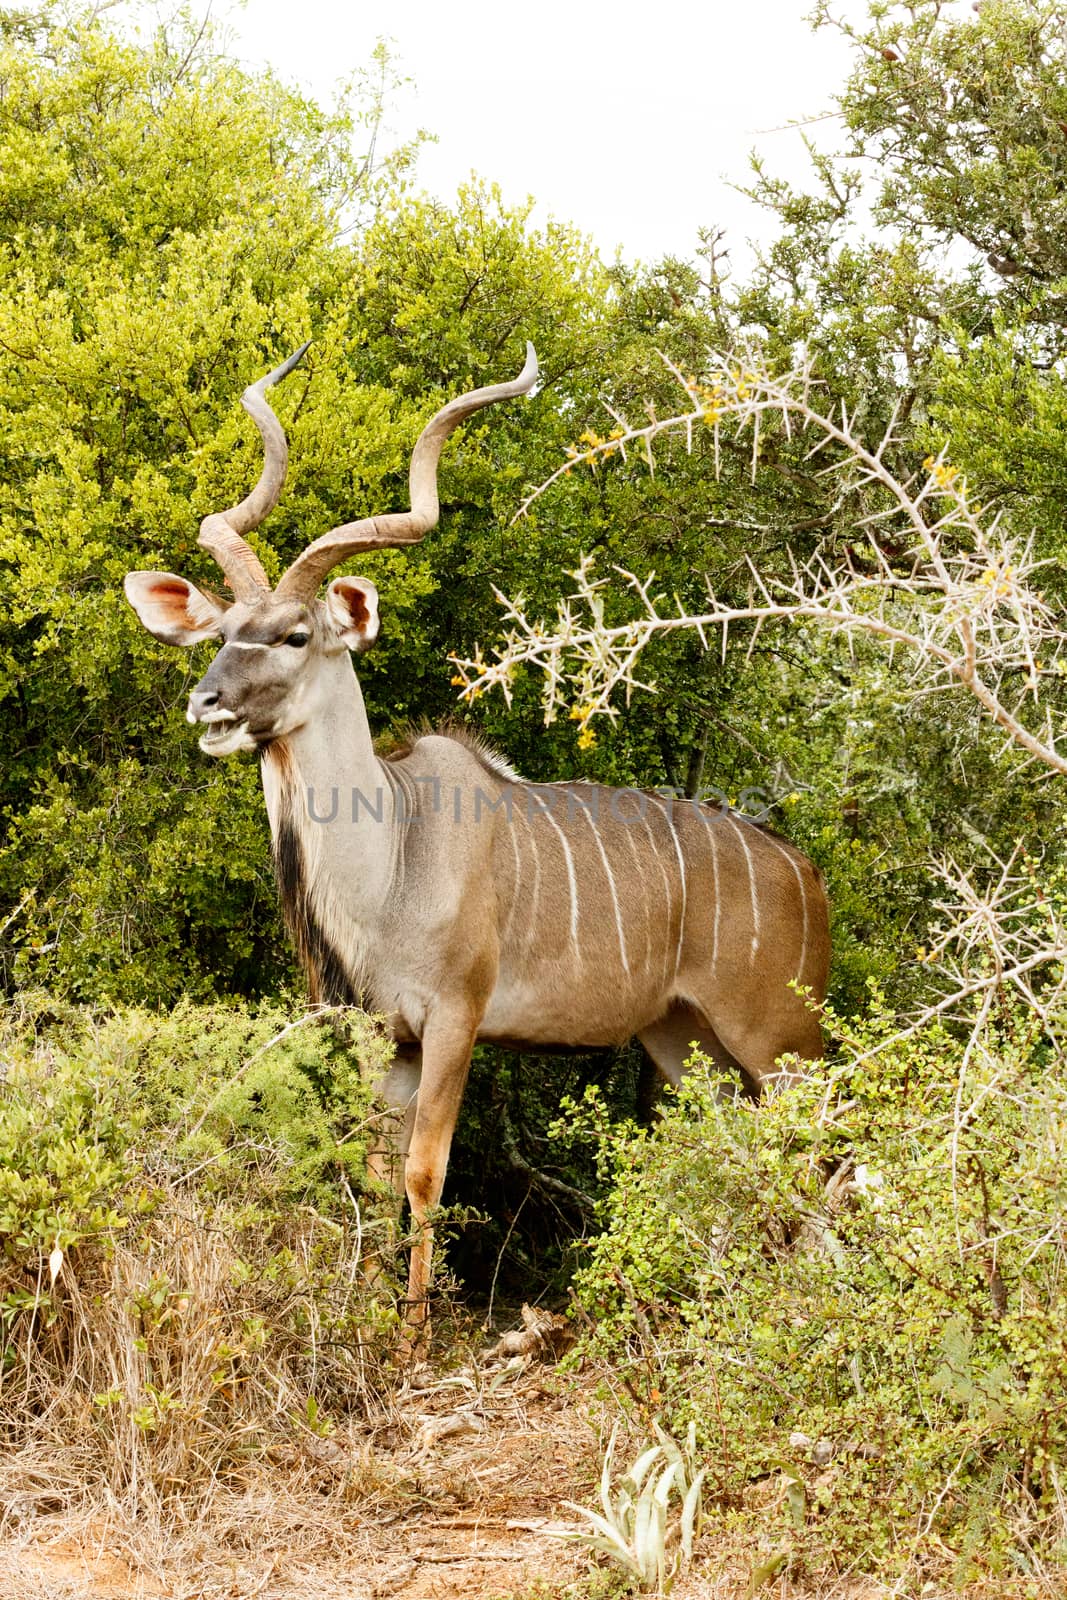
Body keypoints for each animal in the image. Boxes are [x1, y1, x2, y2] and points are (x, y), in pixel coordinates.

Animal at [120, 344, 831, 1344]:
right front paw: (360, 1315)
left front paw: (414, 1338)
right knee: (731, 1148)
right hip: (680, 1039)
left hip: (780, 1039)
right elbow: (375, 1168)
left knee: (820, 1146)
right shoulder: (387, 1038)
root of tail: (805, 874)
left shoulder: (455, 1022)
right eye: (221, 633)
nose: (208, 706)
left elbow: (426, 1172)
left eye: (295, 634)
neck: (393, 853)